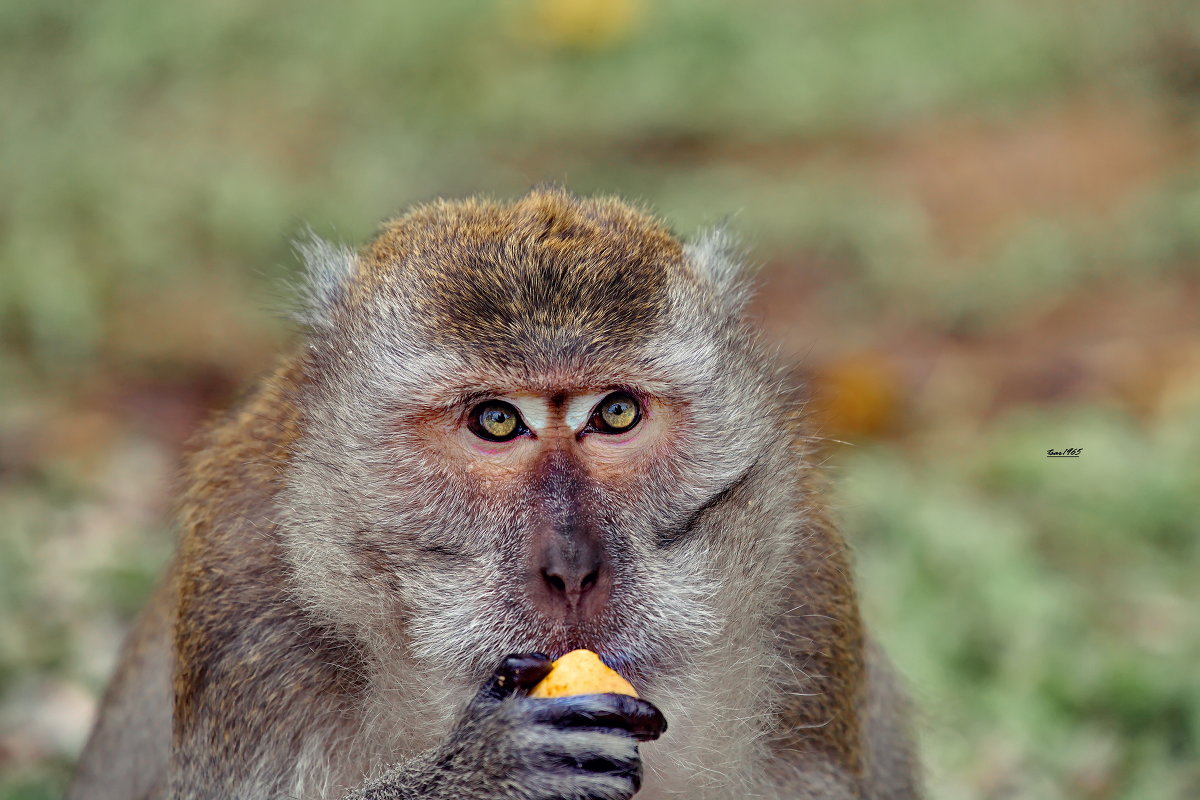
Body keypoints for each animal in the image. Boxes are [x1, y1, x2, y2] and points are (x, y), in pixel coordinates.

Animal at [70, 189, 916, 800]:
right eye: (497, 420)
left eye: (615, 413)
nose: (572, 569)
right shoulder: (251, 614)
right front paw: (483, 769)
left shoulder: (803, 599)